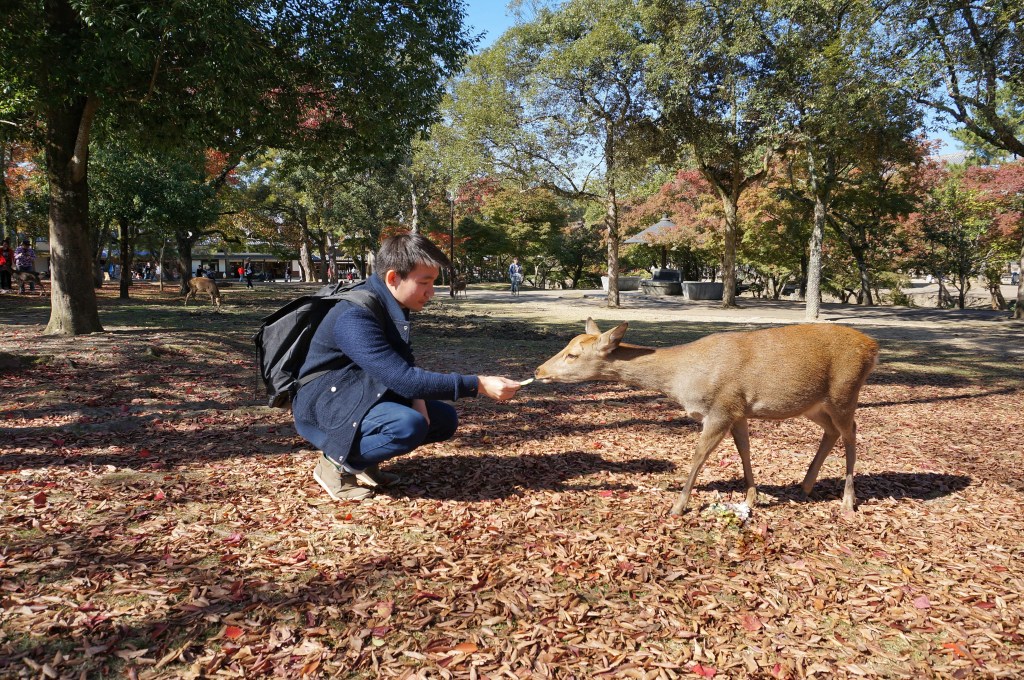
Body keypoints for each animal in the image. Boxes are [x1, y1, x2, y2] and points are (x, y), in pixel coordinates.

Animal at [535, 319, 879, 515]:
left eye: (573, 354)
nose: (539, 370)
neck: (682, 379)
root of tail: (873, 346)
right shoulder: (738, 410)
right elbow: (744, 451)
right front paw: (751, 498)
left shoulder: (721, 408)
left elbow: (699, 455)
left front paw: (677, 506)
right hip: (813, 406)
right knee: (833, 432)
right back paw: (805, 486)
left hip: (845, 392)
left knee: (852, 432)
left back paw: (848, 501)